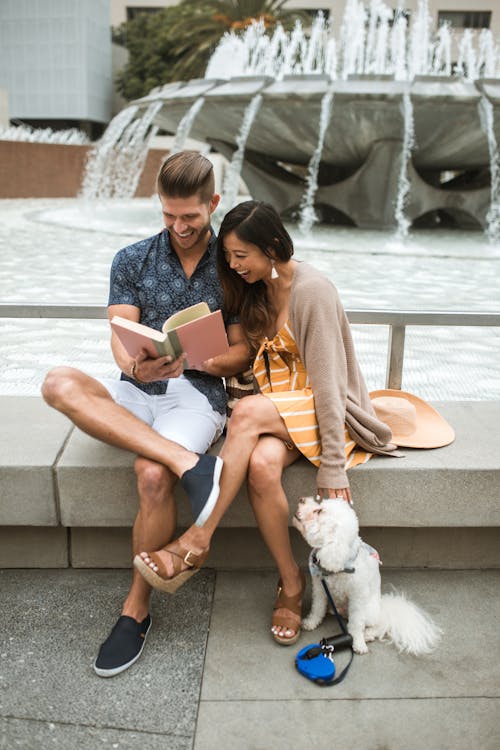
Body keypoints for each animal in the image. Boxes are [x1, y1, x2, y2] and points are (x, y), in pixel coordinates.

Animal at [292, 496, 442, 656]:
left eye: (319, 511)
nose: (302, 499)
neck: (340, 562)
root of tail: (383, 607)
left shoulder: (357, 598)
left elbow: (356, 624)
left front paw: (358, 643)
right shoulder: (320, 588)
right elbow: (317, 608)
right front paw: (311, 622)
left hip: (369, 611)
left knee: (378, 625)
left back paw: (368, 635)